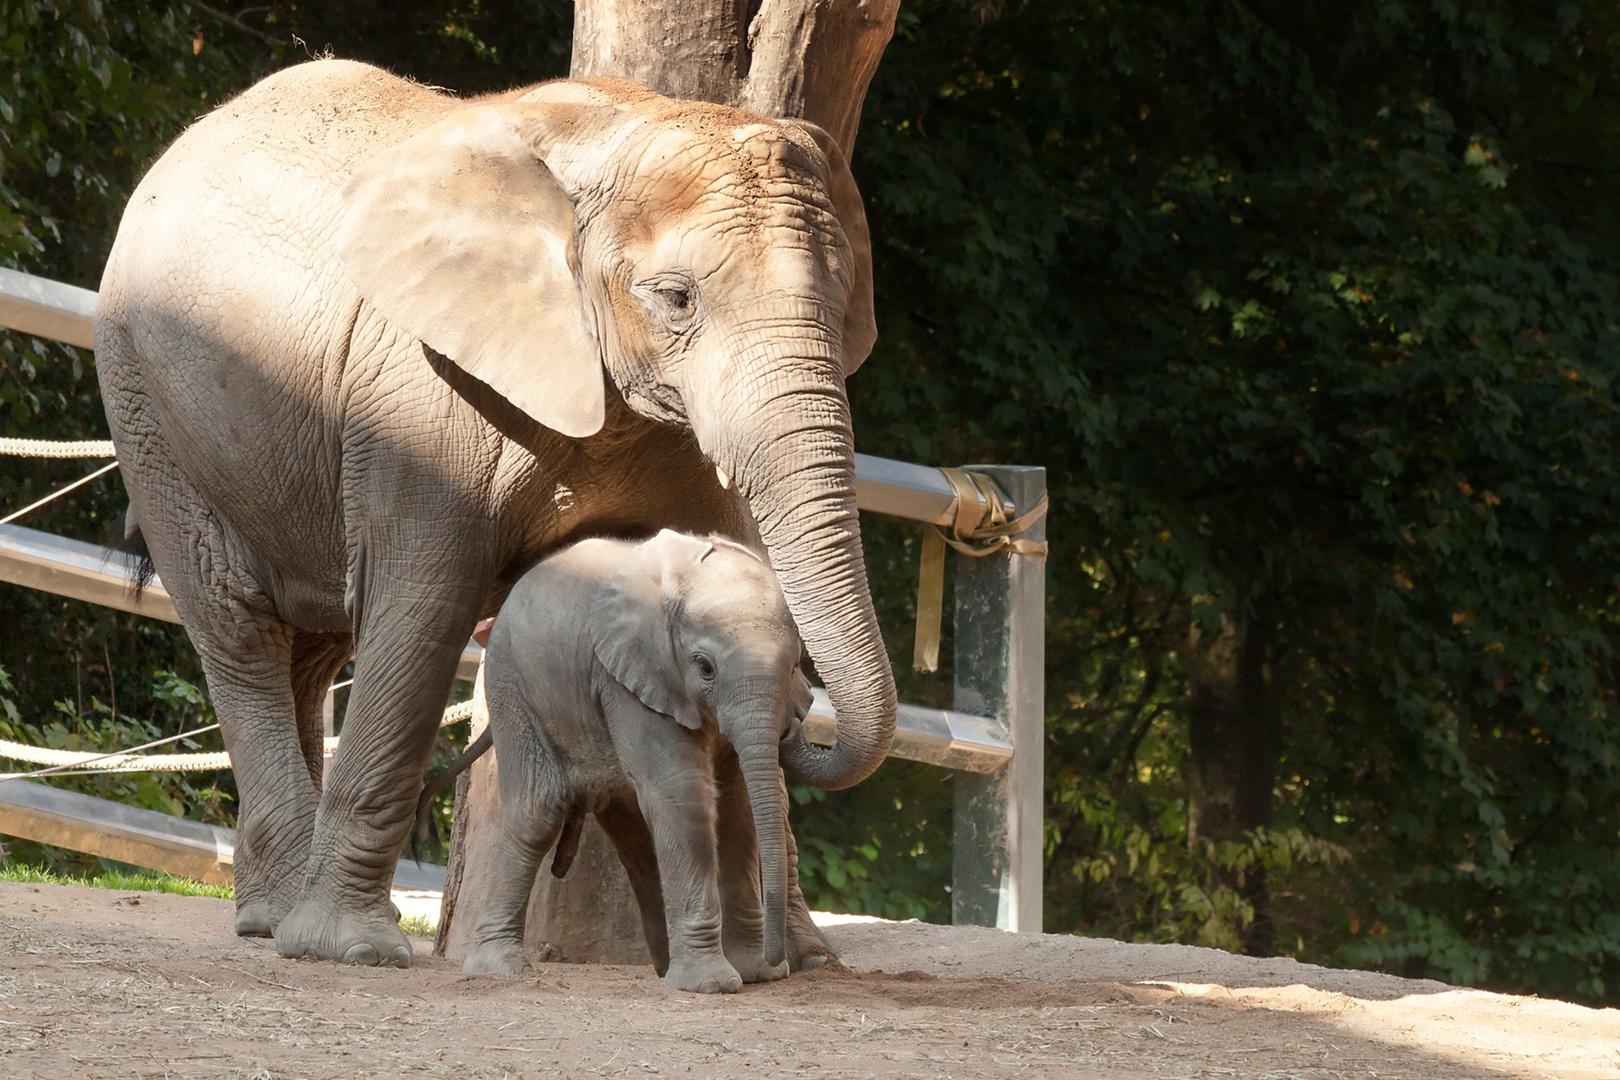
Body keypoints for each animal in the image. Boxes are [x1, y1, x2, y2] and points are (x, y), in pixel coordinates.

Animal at [463, 527, 803, 990]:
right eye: (705, 667)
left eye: (795, 667)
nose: (777, 960)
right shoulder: (627, 679)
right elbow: (683, 792)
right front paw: (712, 985)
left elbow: (738, 803)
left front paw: (754, 973)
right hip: (511, 684)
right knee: (537, 812)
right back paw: (499, 967)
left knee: (637, 838)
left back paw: (665, 967)